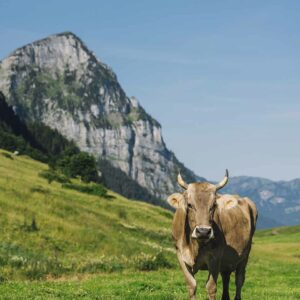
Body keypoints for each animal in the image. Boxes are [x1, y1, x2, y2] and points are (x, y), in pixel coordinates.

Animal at [168, 170, 256, 300]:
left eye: (214, 205)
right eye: (189, 205)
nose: (203, 231)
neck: (195, 246)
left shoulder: (216, 257)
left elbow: (211, 287)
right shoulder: (180, 255)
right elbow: (191, 285)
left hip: (245, 254)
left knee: (239, 279)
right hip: (226, 261)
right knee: (226, 277)